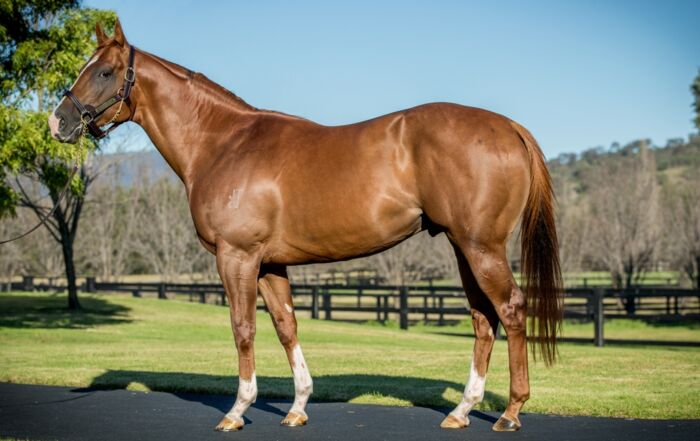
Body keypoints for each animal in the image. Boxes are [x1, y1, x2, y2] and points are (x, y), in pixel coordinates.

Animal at [49, 19, 564, 430]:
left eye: (104, 71)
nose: (58, 122)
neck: (224, 143)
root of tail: (509, 127)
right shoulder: (270, 264)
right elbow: (286, 326)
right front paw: (297, 407)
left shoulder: (237, 257)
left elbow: (242, 327)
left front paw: (237, 411)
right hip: (463, 247)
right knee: (483, 319)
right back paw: (461, 411)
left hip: (482, 247)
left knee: (511, 310)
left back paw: (510, 412)